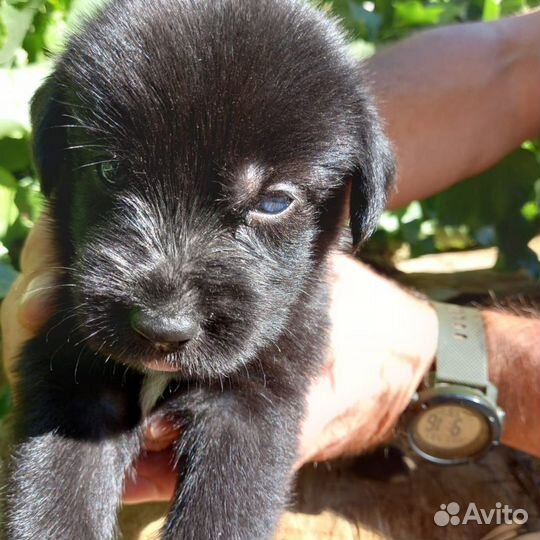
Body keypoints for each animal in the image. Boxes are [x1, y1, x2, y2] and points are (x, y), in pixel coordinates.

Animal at [3, 0, 392, 536]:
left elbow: (224, 510)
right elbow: (53, 494)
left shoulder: (255, 398)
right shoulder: (68, 372)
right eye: (108, 171)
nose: (162, 328)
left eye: (274, 202)